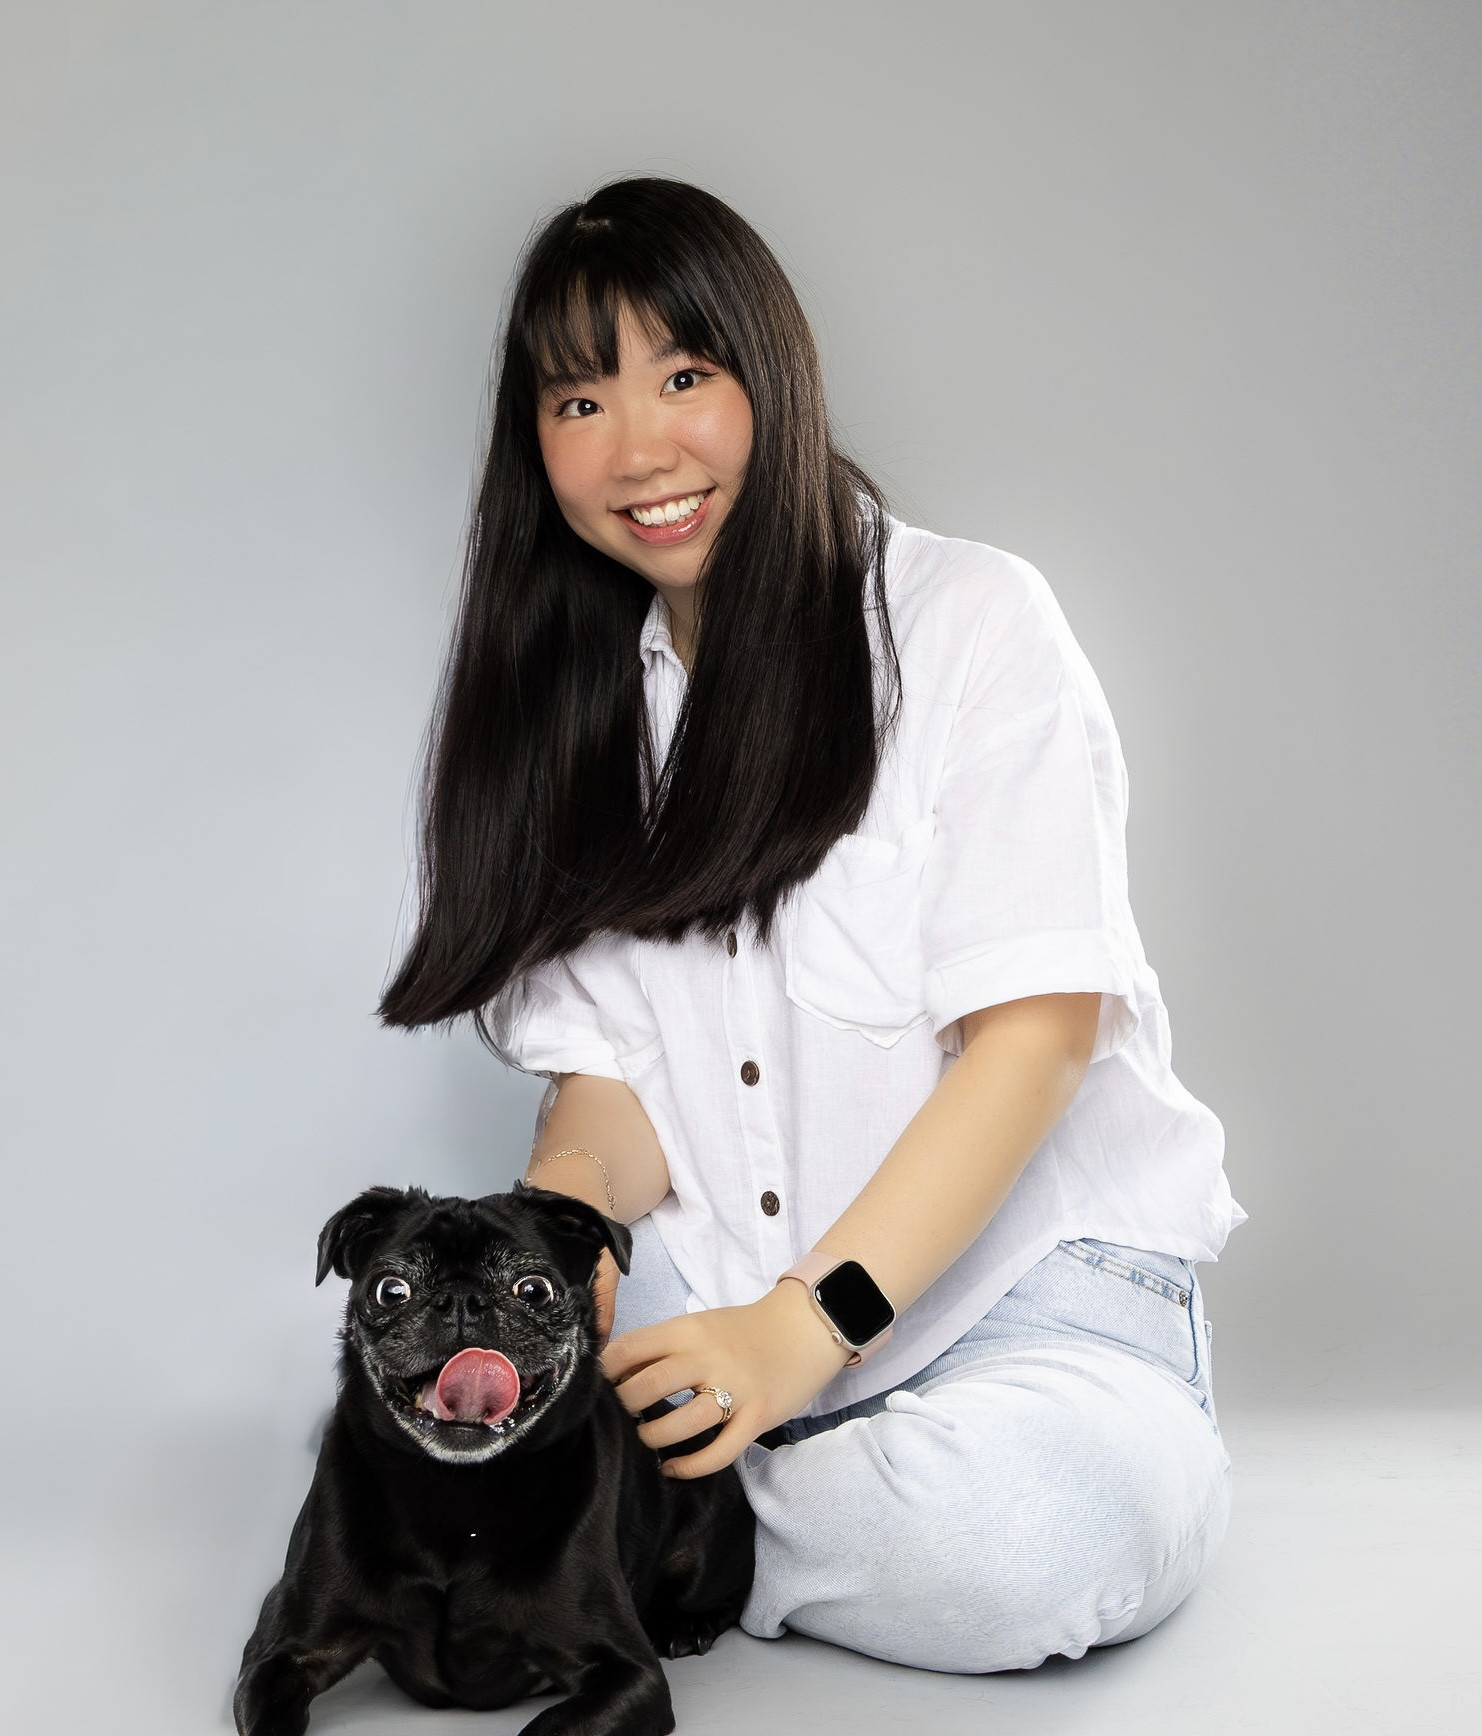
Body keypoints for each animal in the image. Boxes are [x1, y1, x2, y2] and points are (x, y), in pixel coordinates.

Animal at [234, 1183, 755, 1736]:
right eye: (390, 1290)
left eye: (534, 1291)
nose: (461, 1300)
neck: (457, 1491)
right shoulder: (281, 1652)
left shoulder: (629, 1674)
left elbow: (551, 1728)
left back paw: (688, 1625)